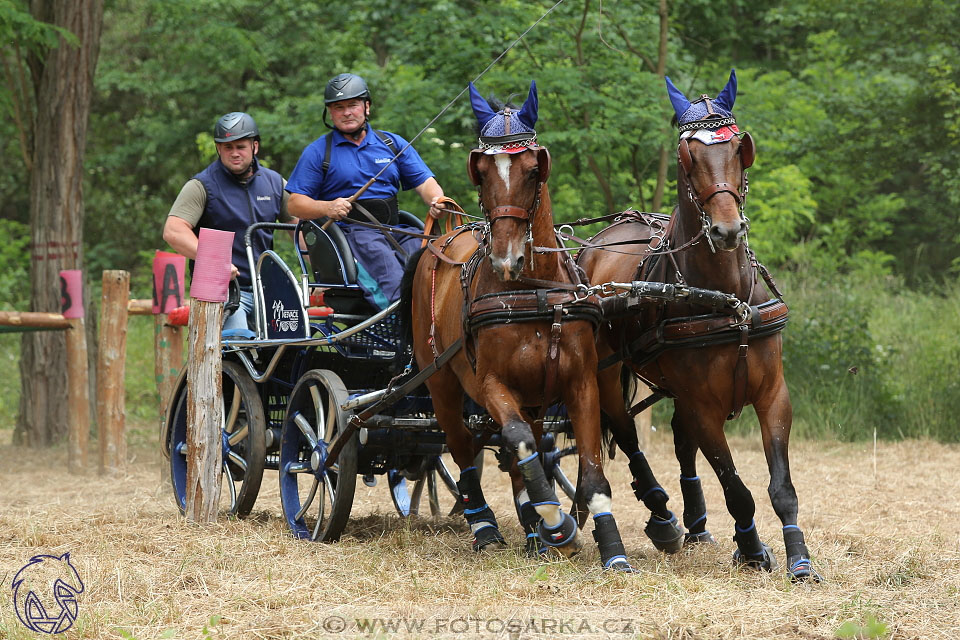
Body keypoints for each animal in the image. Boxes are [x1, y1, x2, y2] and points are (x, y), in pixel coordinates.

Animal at [402, 81, 680, 568]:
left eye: (534, 169)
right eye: (481, 172)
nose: (506, 258)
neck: (532, 290)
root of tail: (443, 236)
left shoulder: (580, 384)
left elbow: (590, 472)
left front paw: (611, 550)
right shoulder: (490, 385)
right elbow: (518, 443)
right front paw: (557, 521)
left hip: (532, 398)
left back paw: (533, 532)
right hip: (442, 385)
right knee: (465, 448)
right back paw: (487, 526)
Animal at [576, 69, 816, 580]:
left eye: (739, 150)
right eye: (689, 158)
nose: (727, 230)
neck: (726, 298)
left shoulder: (773, 395)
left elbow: (781, 488)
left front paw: (799, 558)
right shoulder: (705, 407)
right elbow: (738, 489)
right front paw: (752, 550)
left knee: (680, 442)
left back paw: (696, 524)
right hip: (606, 374)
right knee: (627, 435)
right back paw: (662, 516)